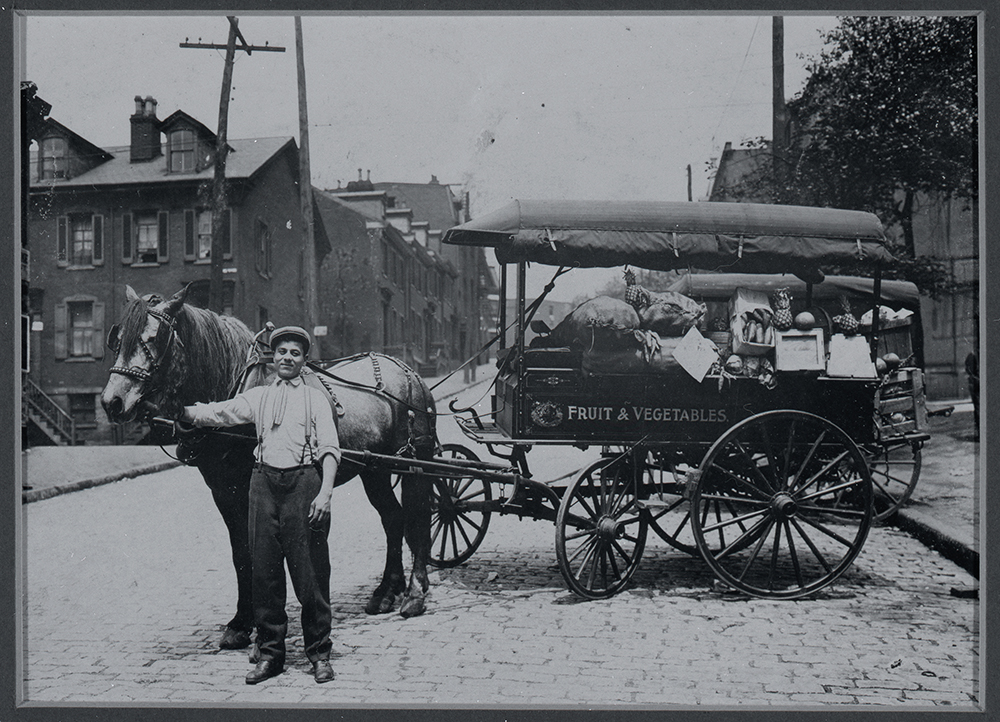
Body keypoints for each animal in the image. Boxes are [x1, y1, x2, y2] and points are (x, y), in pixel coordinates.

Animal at [100, 284, 438, 648]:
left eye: (153, 338)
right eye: (117, 339)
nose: (112, 402)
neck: (234, 388)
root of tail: (410, 373)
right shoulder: (224, 492)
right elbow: (240, 553)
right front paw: (239, 623)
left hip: (415, 463)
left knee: (418, 517)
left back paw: (414, 594)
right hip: (375, 470)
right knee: (393, 518)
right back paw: (387, 591)